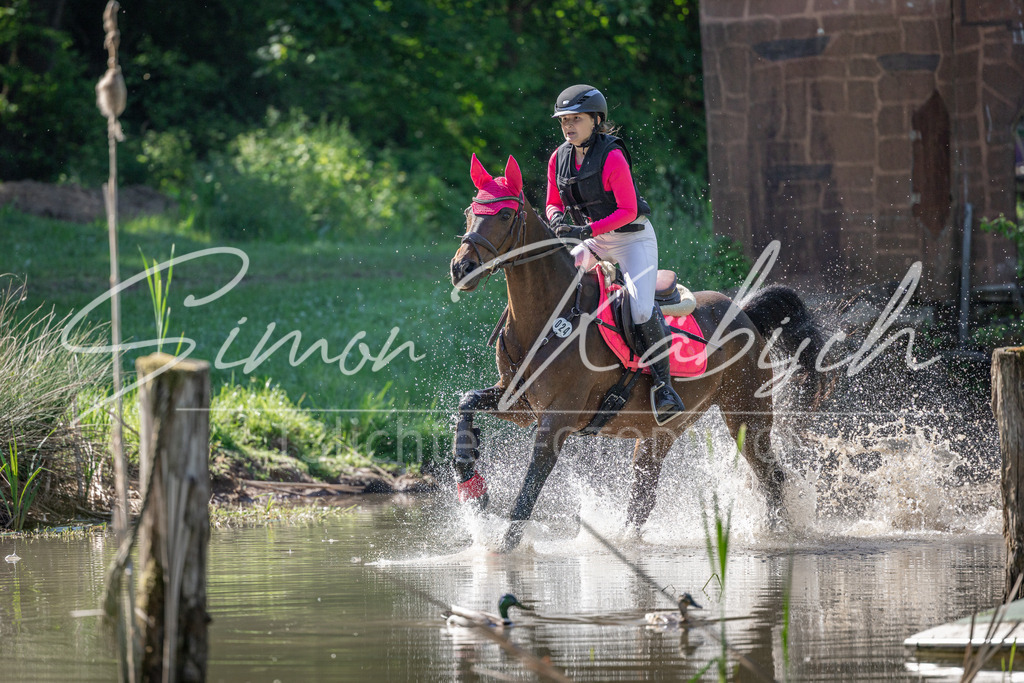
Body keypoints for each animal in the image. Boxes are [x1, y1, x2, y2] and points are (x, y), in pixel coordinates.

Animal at [449, 154, 827, 552]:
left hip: (746, 416)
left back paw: (776, 533)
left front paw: (505, 544)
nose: (461, 268)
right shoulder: (518, 403)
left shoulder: (558, 418)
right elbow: (467, 402)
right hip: (660, 432)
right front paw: (471, 485)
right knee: (644, 495)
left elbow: (531, 484)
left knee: (770, 475)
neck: (548, 316)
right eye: (469, 212)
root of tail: (744, 312)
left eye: (505, 215)